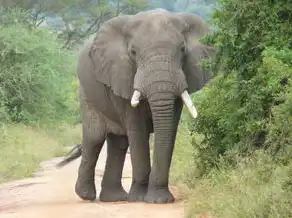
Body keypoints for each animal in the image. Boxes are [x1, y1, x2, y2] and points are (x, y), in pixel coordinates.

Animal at [60, 8, 214, 203]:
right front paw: (141, 198)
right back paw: (87, 195)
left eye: (182, 50)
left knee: (119, 142)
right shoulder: (121, 74)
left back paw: (114, 198)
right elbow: (137, 129)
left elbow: (170, 128)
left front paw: (159, 199)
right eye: (133, 52)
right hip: (86, 92)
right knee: (95, 137)